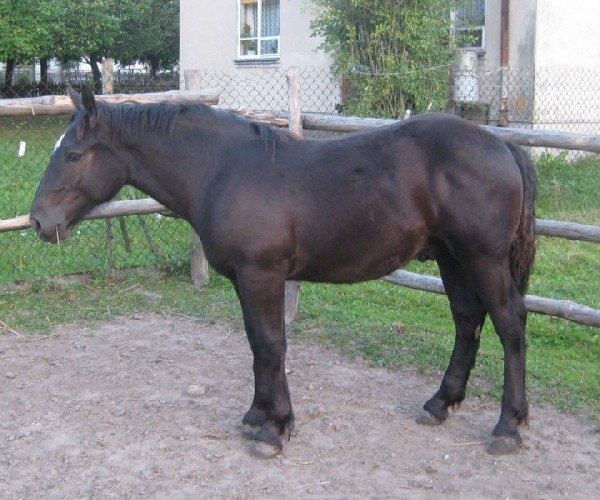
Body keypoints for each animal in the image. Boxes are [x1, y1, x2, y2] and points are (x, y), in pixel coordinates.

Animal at [30, 86, 536, 458]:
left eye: (73, 154)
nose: (38, 221)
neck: (224, 170)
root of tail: (501, 144)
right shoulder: (244, 279)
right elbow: (257, 343)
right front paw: (257, 416)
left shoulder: (263, 275)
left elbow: (273, 345)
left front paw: (275, 430)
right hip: (452, 258)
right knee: (467, 322)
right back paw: (439, 404)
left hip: (483, 258)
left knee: (510, 325)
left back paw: (508, 426)